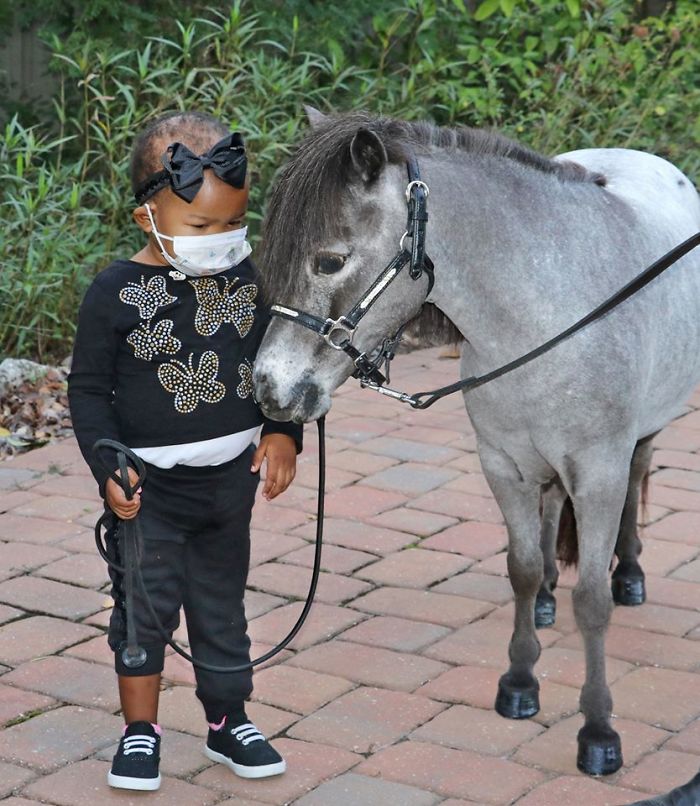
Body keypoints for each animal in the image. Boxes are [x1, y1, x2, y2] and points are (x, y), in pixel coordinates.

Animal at [252, 109, 700, 779]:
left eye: (330, 261)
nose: (269, 388)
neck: (550, 310)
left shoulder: (598, 471)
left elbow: (593, 601)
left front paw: (598, 733)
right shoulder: (502, 464)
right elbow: (521, 567)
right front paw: (519, 681)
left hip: (642, 435)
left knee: (639, 475)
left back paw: (631, 573)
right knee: (549, 512)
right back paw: (547, 598)